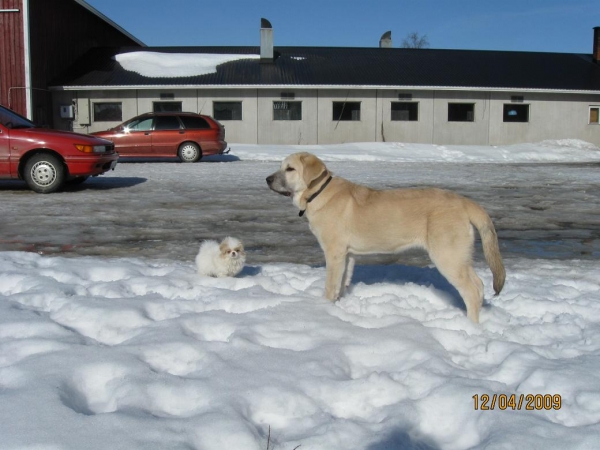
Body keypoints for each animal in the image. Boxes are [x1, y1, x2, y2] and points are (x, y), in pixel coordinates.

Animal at [268, 153, 506, 322]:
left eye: (290, 169)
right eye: (281, 166)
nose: (267, 179)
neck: (318, 193)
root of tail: (465, 202)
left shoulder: (334, 253)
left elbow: (330, 286)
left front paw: (324, 309)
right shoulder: (347, 255)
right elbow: (343, 284)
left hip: (448, 256)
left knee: (471, 291)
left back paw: (470, 326)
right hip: (459, 256)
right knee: (479, 285)